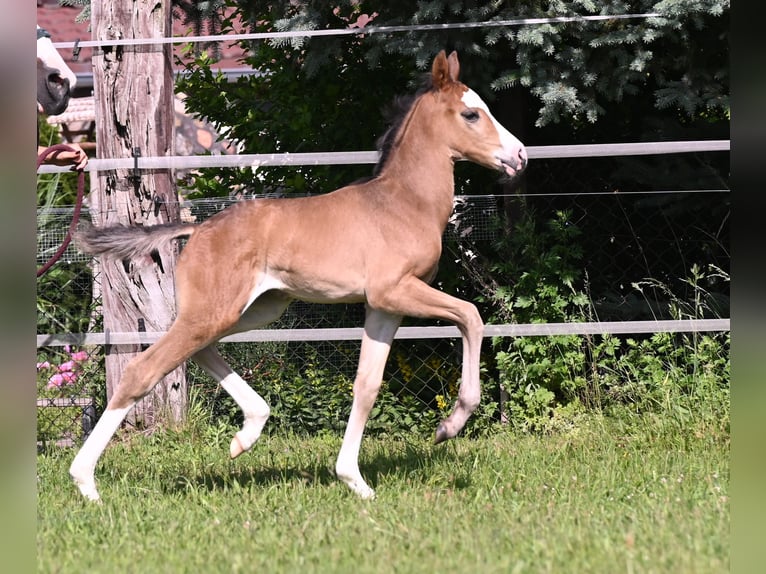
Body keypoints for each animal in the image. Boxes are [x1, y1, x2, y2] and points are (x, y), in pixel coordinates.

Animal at [70, 49, 528, 502]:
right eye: (471, 114)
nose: (521, 155)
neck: (402, 203)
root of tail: (196, 229)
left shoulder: (383, 307)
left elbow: (367, 385)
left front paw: (354, 481)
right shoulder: (396, 291)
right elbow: (471, 315)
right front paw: (450, 425)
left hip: (250, 311)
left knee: (197, 351)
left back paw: (247, 433)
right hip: (216, 312)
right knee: (142, 369)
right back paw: (86, 483)